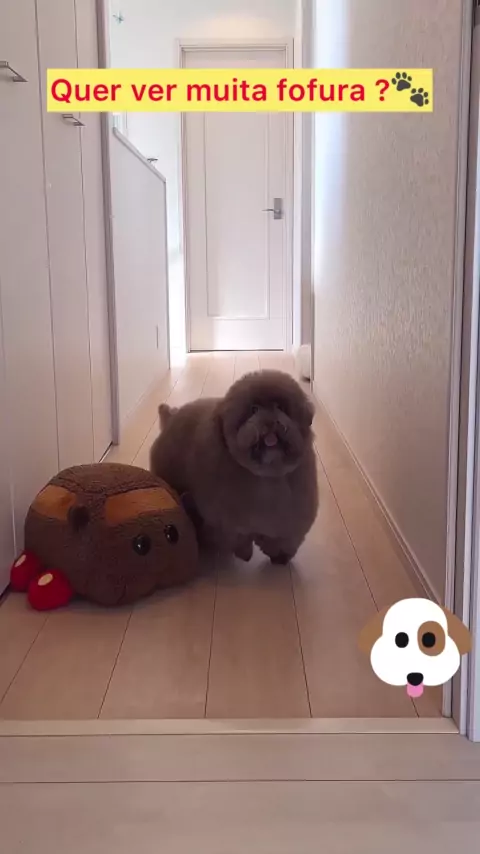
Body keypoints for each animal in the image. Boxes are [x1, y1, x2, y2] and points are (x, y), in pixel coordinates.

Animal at [150, 370, 318, 564]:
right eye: (254, 410)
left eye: (280, 408)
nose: (269, 419)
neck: (267, 478)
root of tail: (172, 416)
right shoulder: (226, 518)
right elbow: (237, 537)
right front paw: (244, 552)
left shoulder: (291, 517)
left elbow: (283, 540)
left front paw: (280, 556)